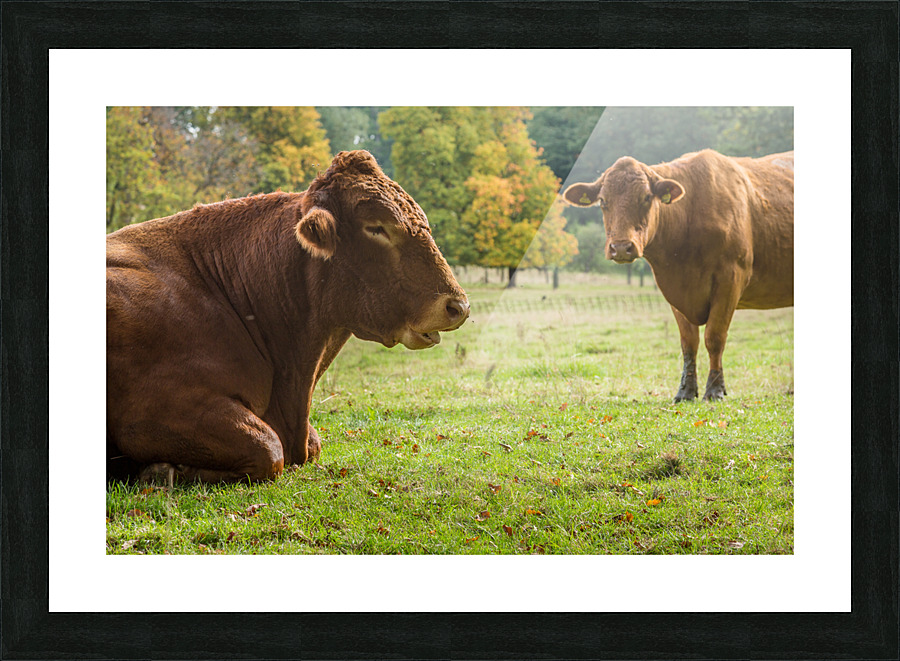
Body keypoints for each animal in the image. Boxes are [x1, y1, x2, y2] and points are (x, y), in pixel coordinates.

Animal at [107, 150, 469, 483]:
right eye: (376, 227)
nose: (459, 307)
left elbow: (309, 443)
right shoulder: (153, 412)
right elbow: (269, 449)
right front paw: (161, 469)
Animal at [562, 149, 793, 402]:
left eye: (646, 197)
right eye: (603, 201)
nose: (621, 247)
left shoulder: (731, 278)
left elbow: (714, 337)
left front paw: (715, 389)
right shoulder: (674, 290)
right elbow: (688, 342)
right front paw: (686, 391)